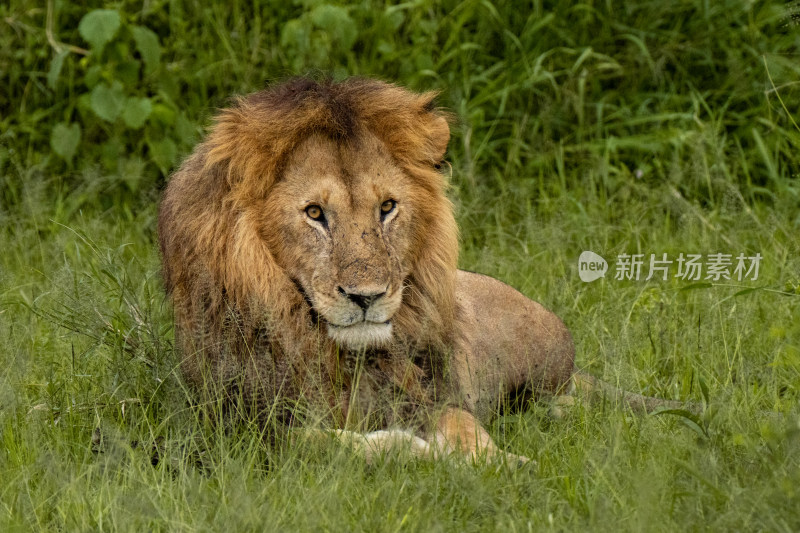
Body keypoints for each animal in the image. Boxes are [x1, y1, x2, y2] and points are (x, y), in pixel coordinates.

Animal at [158, 77, 688, 464]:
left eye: (387, 207)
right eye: (314, 213)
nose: (367, 296)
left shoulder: (426, 398)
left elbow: (464, 424)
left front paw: (503, 463)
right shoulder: (243, 426)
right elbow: (329, 442)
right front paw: (410, 451)